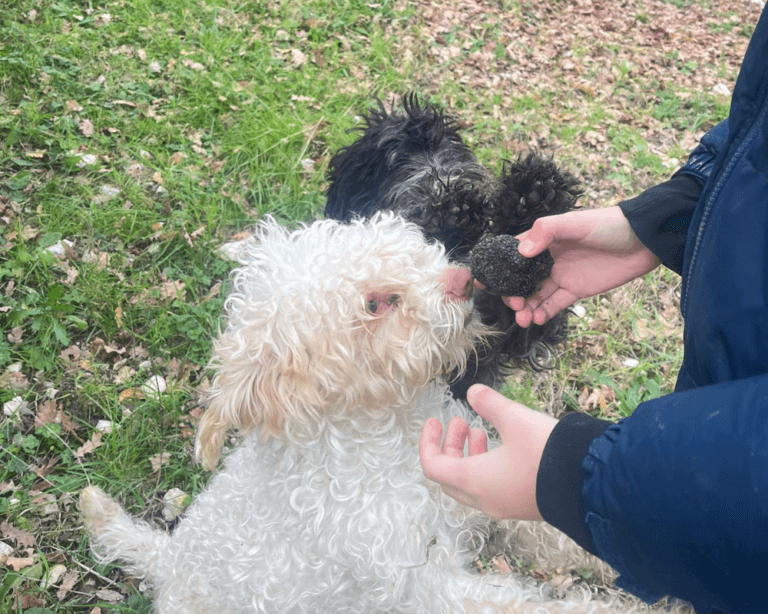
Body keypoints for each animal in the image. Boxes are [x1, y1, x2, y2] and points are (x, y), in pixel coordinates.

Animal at [79, 215, 688, 614]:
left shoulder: (484, 497)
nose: (462, 279)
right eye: (375, 304)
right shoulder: (424, 587)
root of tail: (168, 559)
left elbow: (569, 523)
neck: (387, 435)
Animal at [324, 97, 584, 400]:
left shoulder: (503, 336)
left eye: (447, 145)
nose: (447, 180)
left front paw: (534, 194)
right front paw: (455, 208)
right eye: (395, 158)